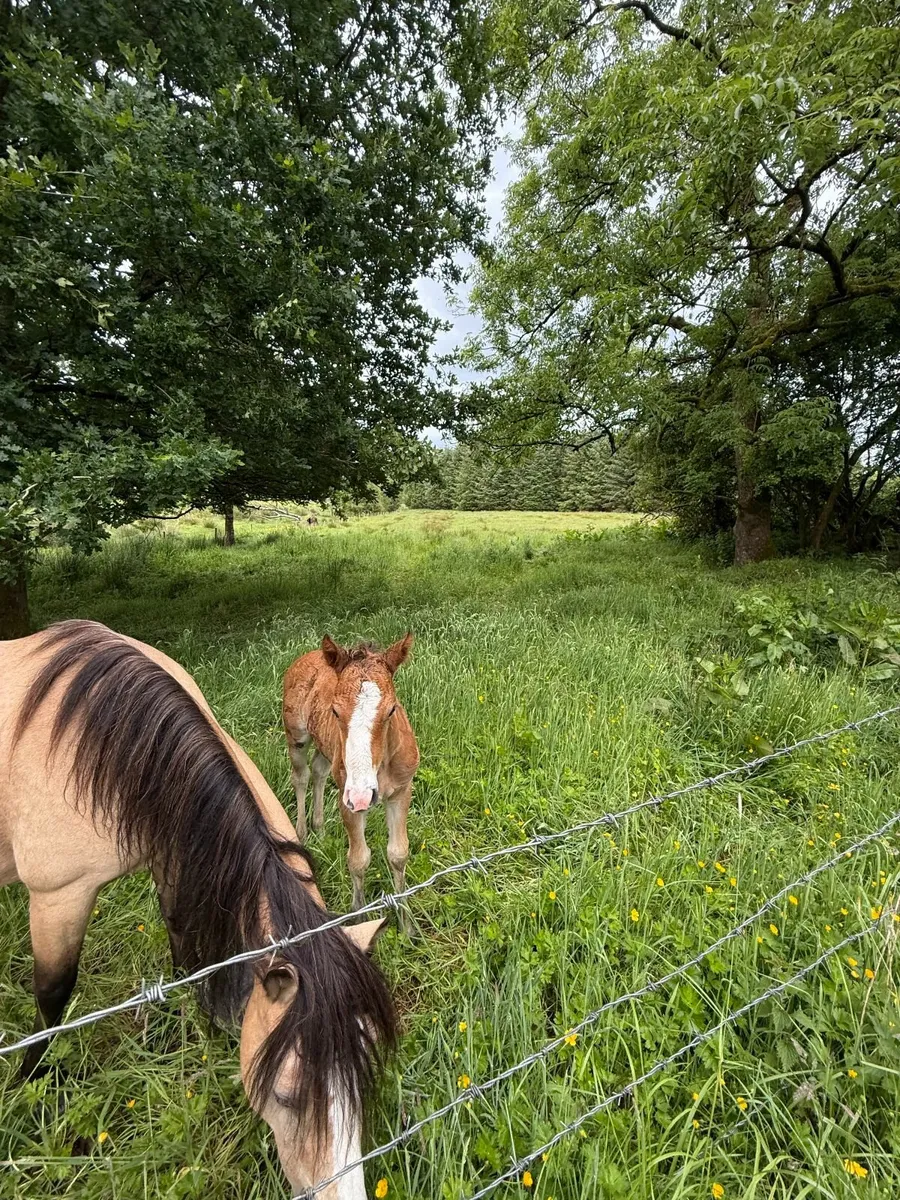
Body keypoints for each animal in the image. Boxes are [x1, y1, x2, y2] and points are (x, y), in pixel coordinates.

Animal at [0, 620, 396, 1199]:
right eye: (285, 1094)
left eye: (362, 1076)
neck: (103, 732)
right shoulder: (59, 894)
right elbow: (52, 996)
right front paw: (31, 1083)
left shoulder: (173, 854)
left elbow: (186, 954)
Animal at [282, 635, 419, 936]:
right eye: (335, 710)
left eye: (392, 709)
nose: (363, 796)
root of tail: (309, 655)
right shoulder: (349, 799)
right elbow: (358, 859)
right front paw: (360, 917)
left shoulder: (401, 792)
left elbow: (398, 853)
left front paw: (407, 925)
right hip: (296, 736)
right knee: (301, 776)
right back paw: (302, 834)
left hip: (327, 750)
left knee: (319, 771)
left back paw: (320, 829)